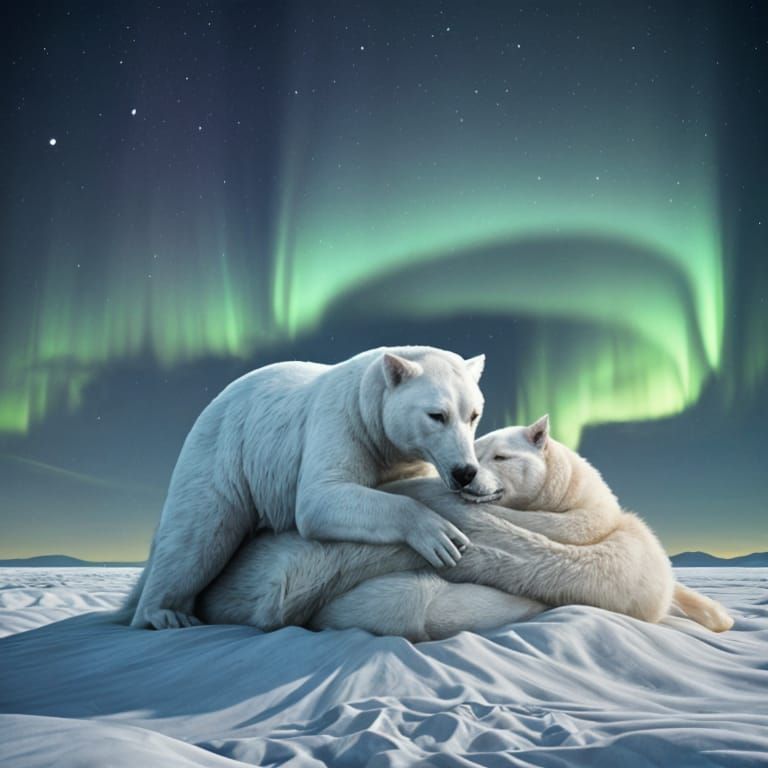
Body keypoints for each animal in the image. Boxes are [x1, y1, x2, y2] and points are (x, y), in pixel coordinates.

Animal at [127, 345, 499, 629]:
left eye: (473, 414)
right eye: (437, 415)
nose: (465, 471)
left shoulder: (405, 459)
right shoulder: (340, 423)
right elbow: (320, 498)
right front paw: (440, 536)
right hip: (222, 453)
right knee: (198, 537)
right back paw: (165, 613)